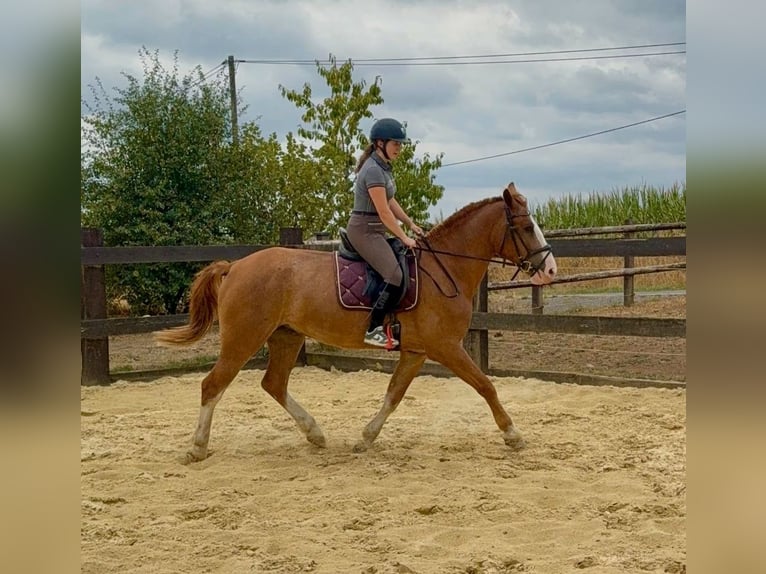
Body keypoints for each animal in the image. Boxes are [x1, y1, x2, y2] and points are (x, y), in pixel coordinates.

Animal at [155, 182, 557, 462]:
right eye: (525, 227)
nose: (551, 269)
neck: (444, 268)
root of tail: (235, 266)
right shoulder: (445, 347)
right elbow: (486, 385)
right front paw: (513, 435)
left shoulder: (416, 352)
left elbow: (393, 395)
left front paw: (365, 438)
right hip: (244, 338)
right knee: (213, 385)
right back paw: (197, 448)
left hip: (286, 337)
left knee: (273, 384)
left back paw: (315, 434)